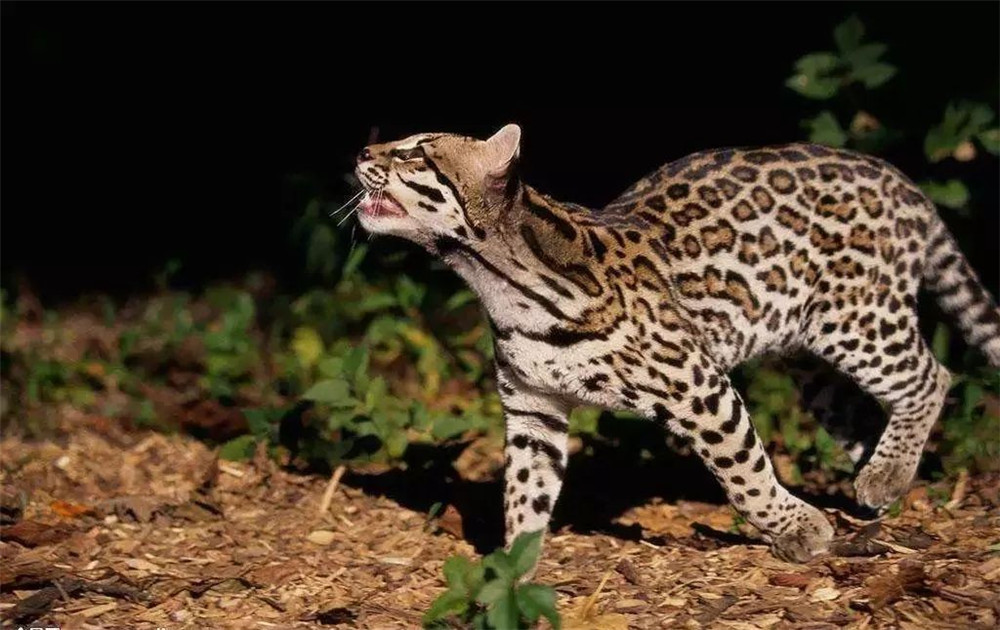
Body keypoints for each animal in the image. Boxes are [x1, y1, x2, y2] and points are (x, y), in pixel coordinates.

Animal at [350, 124, 1000, 572]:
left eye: (415, 153)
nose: (360, 153)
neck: (500, 285)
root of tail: (899, 179)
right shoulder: (533, 409)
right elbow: (525, 492)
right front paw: (516, 569)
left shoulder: (699, 386)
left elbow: (744, 470)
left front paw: (795, 529)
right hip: (808, 354)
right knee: (862, 411)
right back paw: (882, 478)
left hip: (856, 317)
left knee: (933, 376)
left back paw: (885, 475)